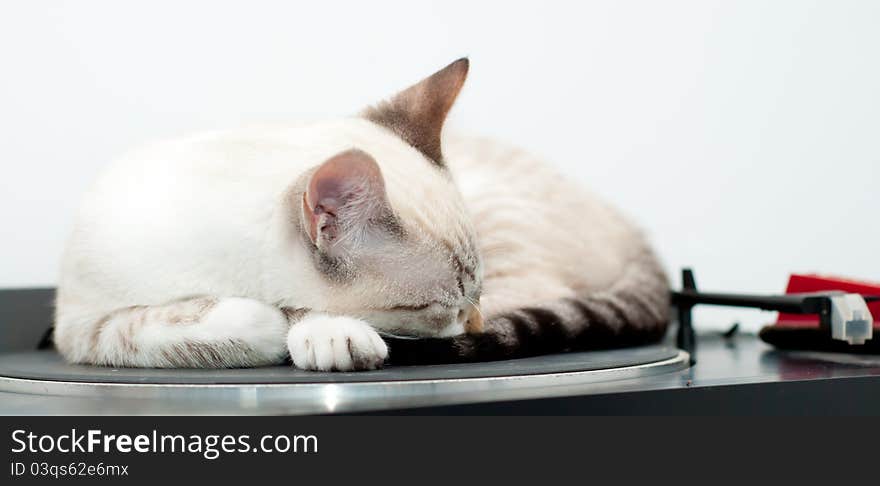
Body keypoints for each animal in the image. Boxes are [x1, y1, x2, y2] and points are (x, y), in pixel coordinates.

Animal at [55, 59, 672, 372]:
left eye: (470, 300)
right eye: (437, 308)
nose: (472, 324)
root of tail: (631, 226)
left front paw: (322, 332)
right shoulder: (81, 324)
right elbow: (178, 323)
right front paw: (277, 321)